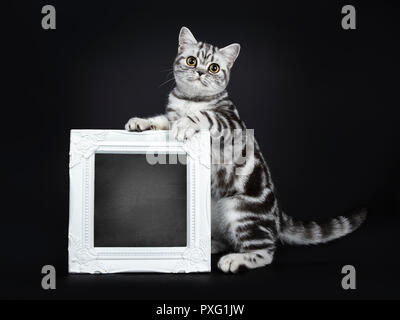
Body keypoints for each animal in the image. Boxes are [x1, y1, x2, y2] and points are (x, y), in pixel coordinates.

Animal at [124, 26, 366, 272]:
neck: (191, 100)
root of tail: (277, 216)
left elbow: (206, 115)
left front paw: (186, 123)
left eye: (214, 67)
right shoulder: (171, 115)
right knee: (228, 239)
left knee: (266, 251)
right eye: (192, 61)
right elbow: (162, 119)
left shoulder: (232, 124)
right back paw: (210, 246)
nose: (200, 72)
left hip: (240, 211)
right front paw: (141, 122)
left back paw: (235, 259)